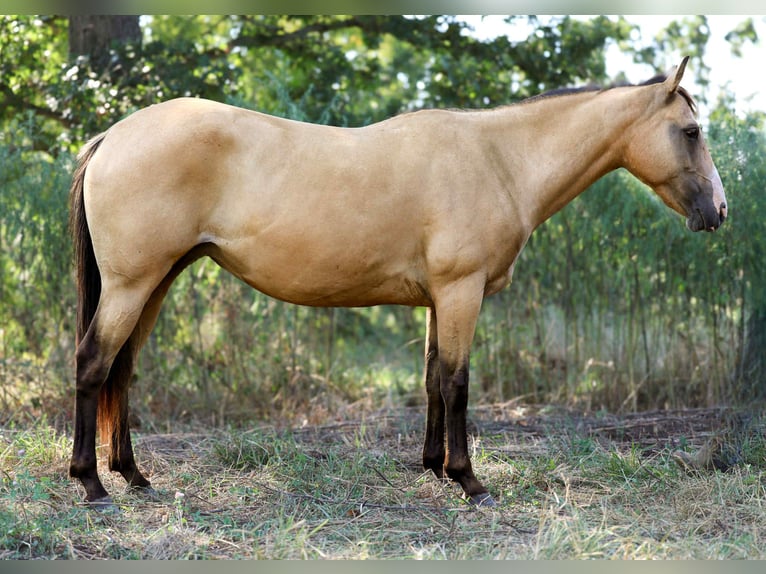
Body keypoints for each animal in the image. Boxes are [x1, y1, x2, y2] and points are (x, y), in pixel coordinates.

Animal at [68, 57, 727, 509]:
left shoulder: (440, 298)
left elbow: (433, 379)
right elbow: (458, 383)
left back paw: (134, 476)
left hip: (155, 283)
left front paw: (434, 466)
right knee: (93, 365)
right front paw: (469, 480)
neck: (499, 159)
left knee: (121, 370)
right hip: (132, 285)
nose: (719, 212)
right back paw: (92, 485)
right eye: (691, 131)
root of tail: (113, 135)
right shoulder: (461, 292)